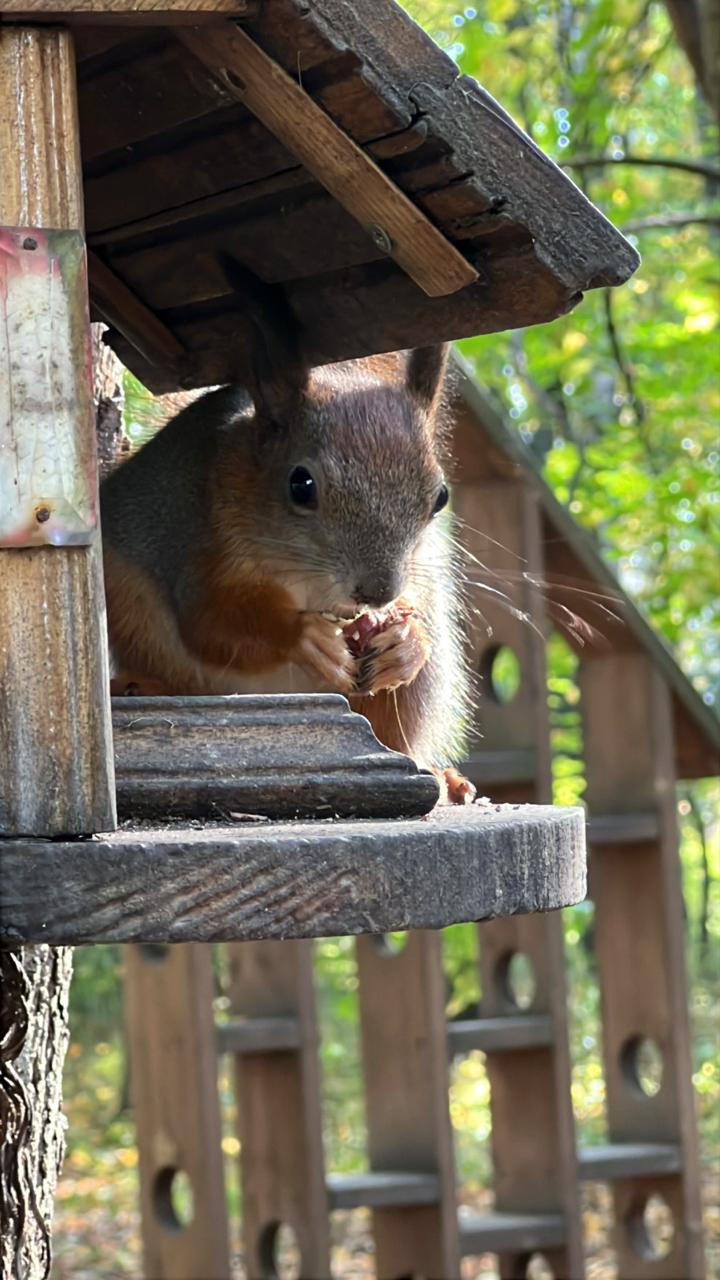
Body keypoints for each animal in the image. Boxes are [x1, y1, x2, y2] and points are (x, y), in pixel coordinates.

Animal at [99, 272, 474, 803]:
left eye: (440, 496)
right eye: (301, 485)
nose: (377, 591)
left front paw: (404, 638)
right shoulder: (204, 539)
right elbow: (212, 623)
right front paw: (306, 637)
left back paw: (443, 777)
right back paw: (144, 686)